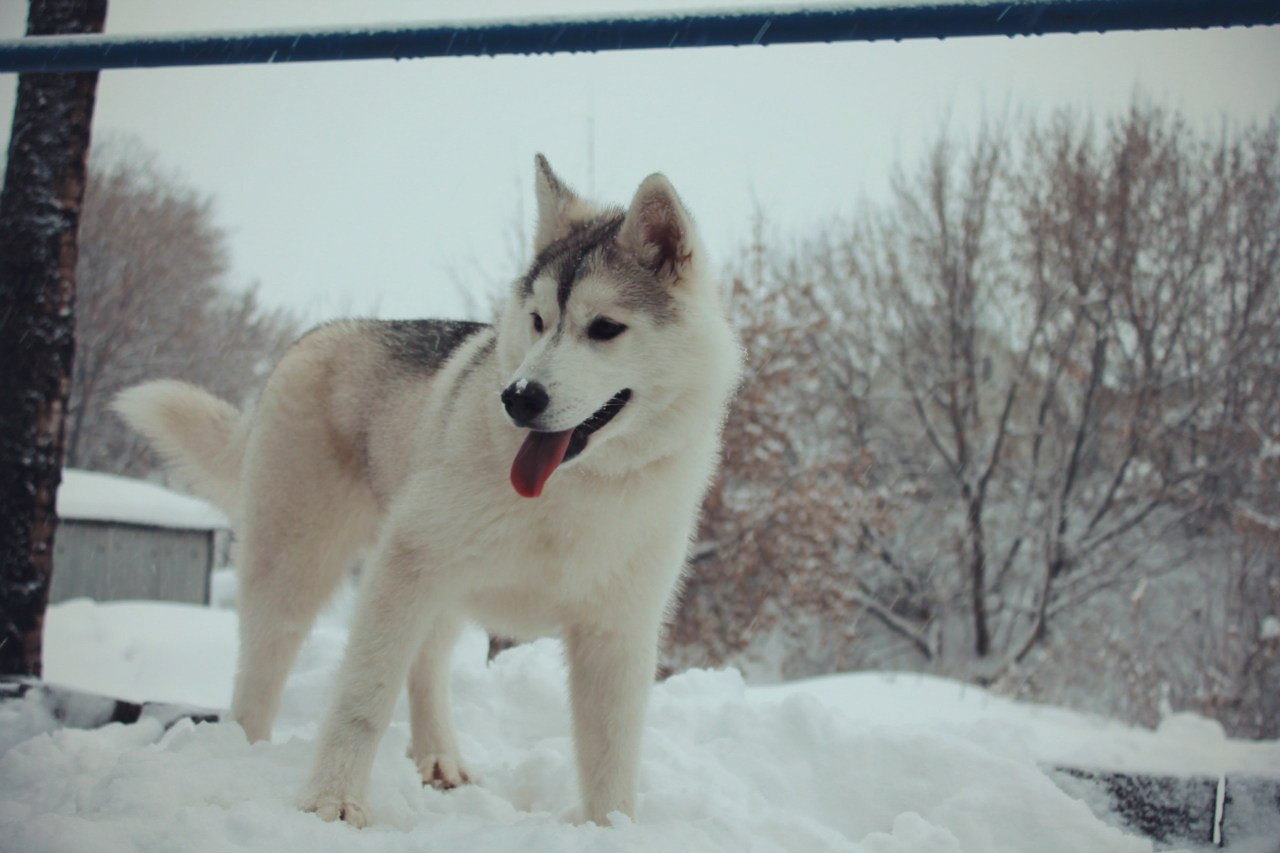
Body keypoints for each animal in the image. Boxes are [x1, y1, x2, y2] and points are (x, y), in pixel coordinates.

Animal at [122, 156, 742, 824]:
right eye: (539, 322)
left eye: (605, 328)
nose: (519, 397)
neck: (573, 490)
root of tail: (316, 337)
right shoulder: (403, 568)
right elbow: (363, 698)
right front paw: (332, 803)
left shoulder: (618, 627)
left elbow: (611, 750)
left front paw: (611, 827)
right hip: (300, 566)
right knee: (263, 666)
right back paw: (245, 750)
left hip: (439, 588)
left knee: (425, 665)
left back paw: (438, 759)